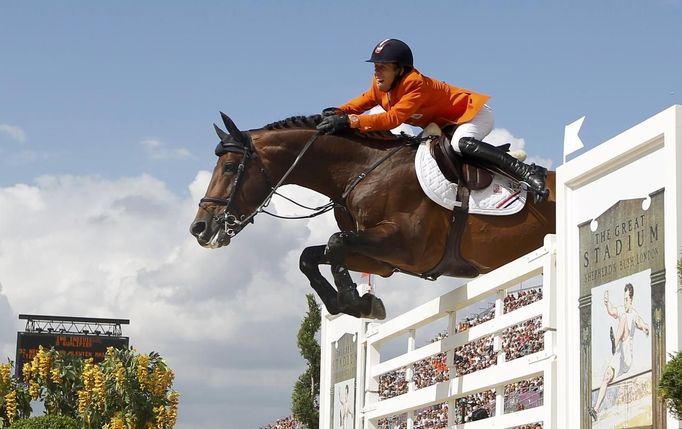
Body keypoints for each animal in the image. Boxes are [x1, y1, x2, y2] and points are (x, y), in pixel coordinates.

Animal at [189, 112, 556, 320]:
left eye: (231, 167)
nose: (199, 229)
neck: (362, 171)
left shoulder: (408, 247)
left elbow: (335, 242)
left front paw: (354, 300)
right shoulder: (381, 261)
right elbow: (311, 256)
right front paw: (353, 305)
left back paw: (536, 179)